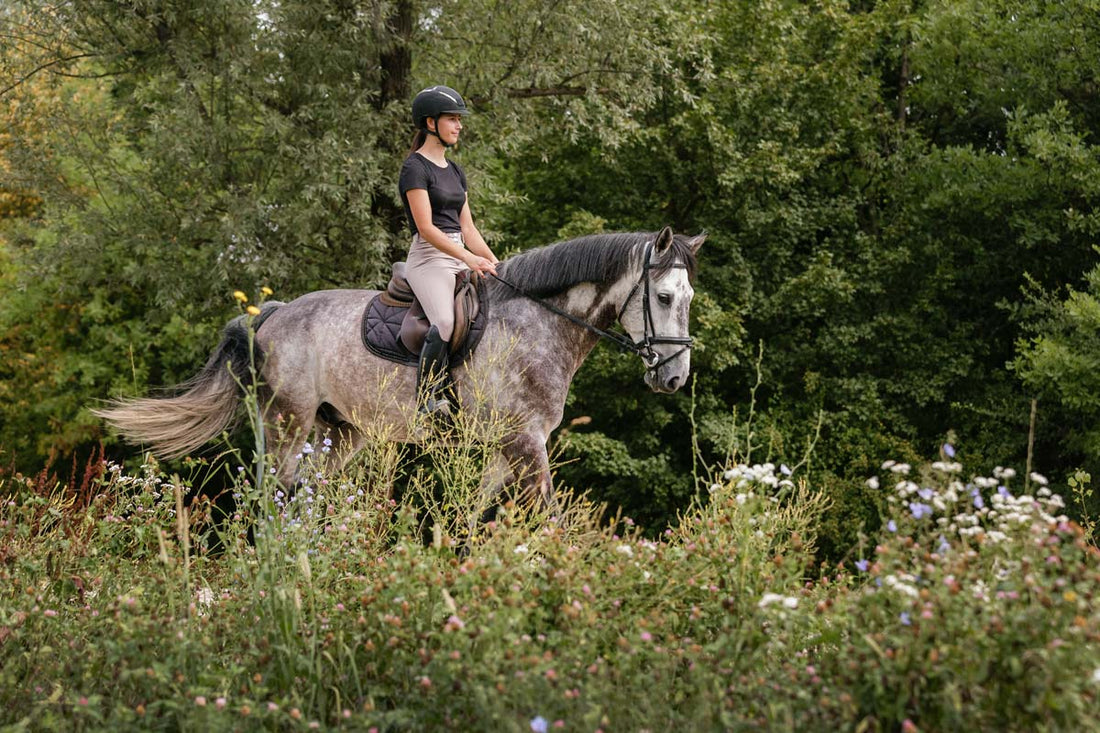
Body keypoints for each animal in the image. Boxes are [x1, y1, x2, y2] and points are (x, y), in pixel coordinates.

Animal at [94, 227, 703, 508]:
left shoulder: (504, 448)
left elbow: (471, 516)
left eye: (689, 296)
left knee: (306, 494)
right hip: (285, 422)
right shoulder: (525, 442)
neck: (539, 321)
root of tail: (271, 315)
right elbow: (545, 518)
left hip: (341, 432)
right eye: (665, 297)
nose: (674, 378)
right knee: (274, 492)